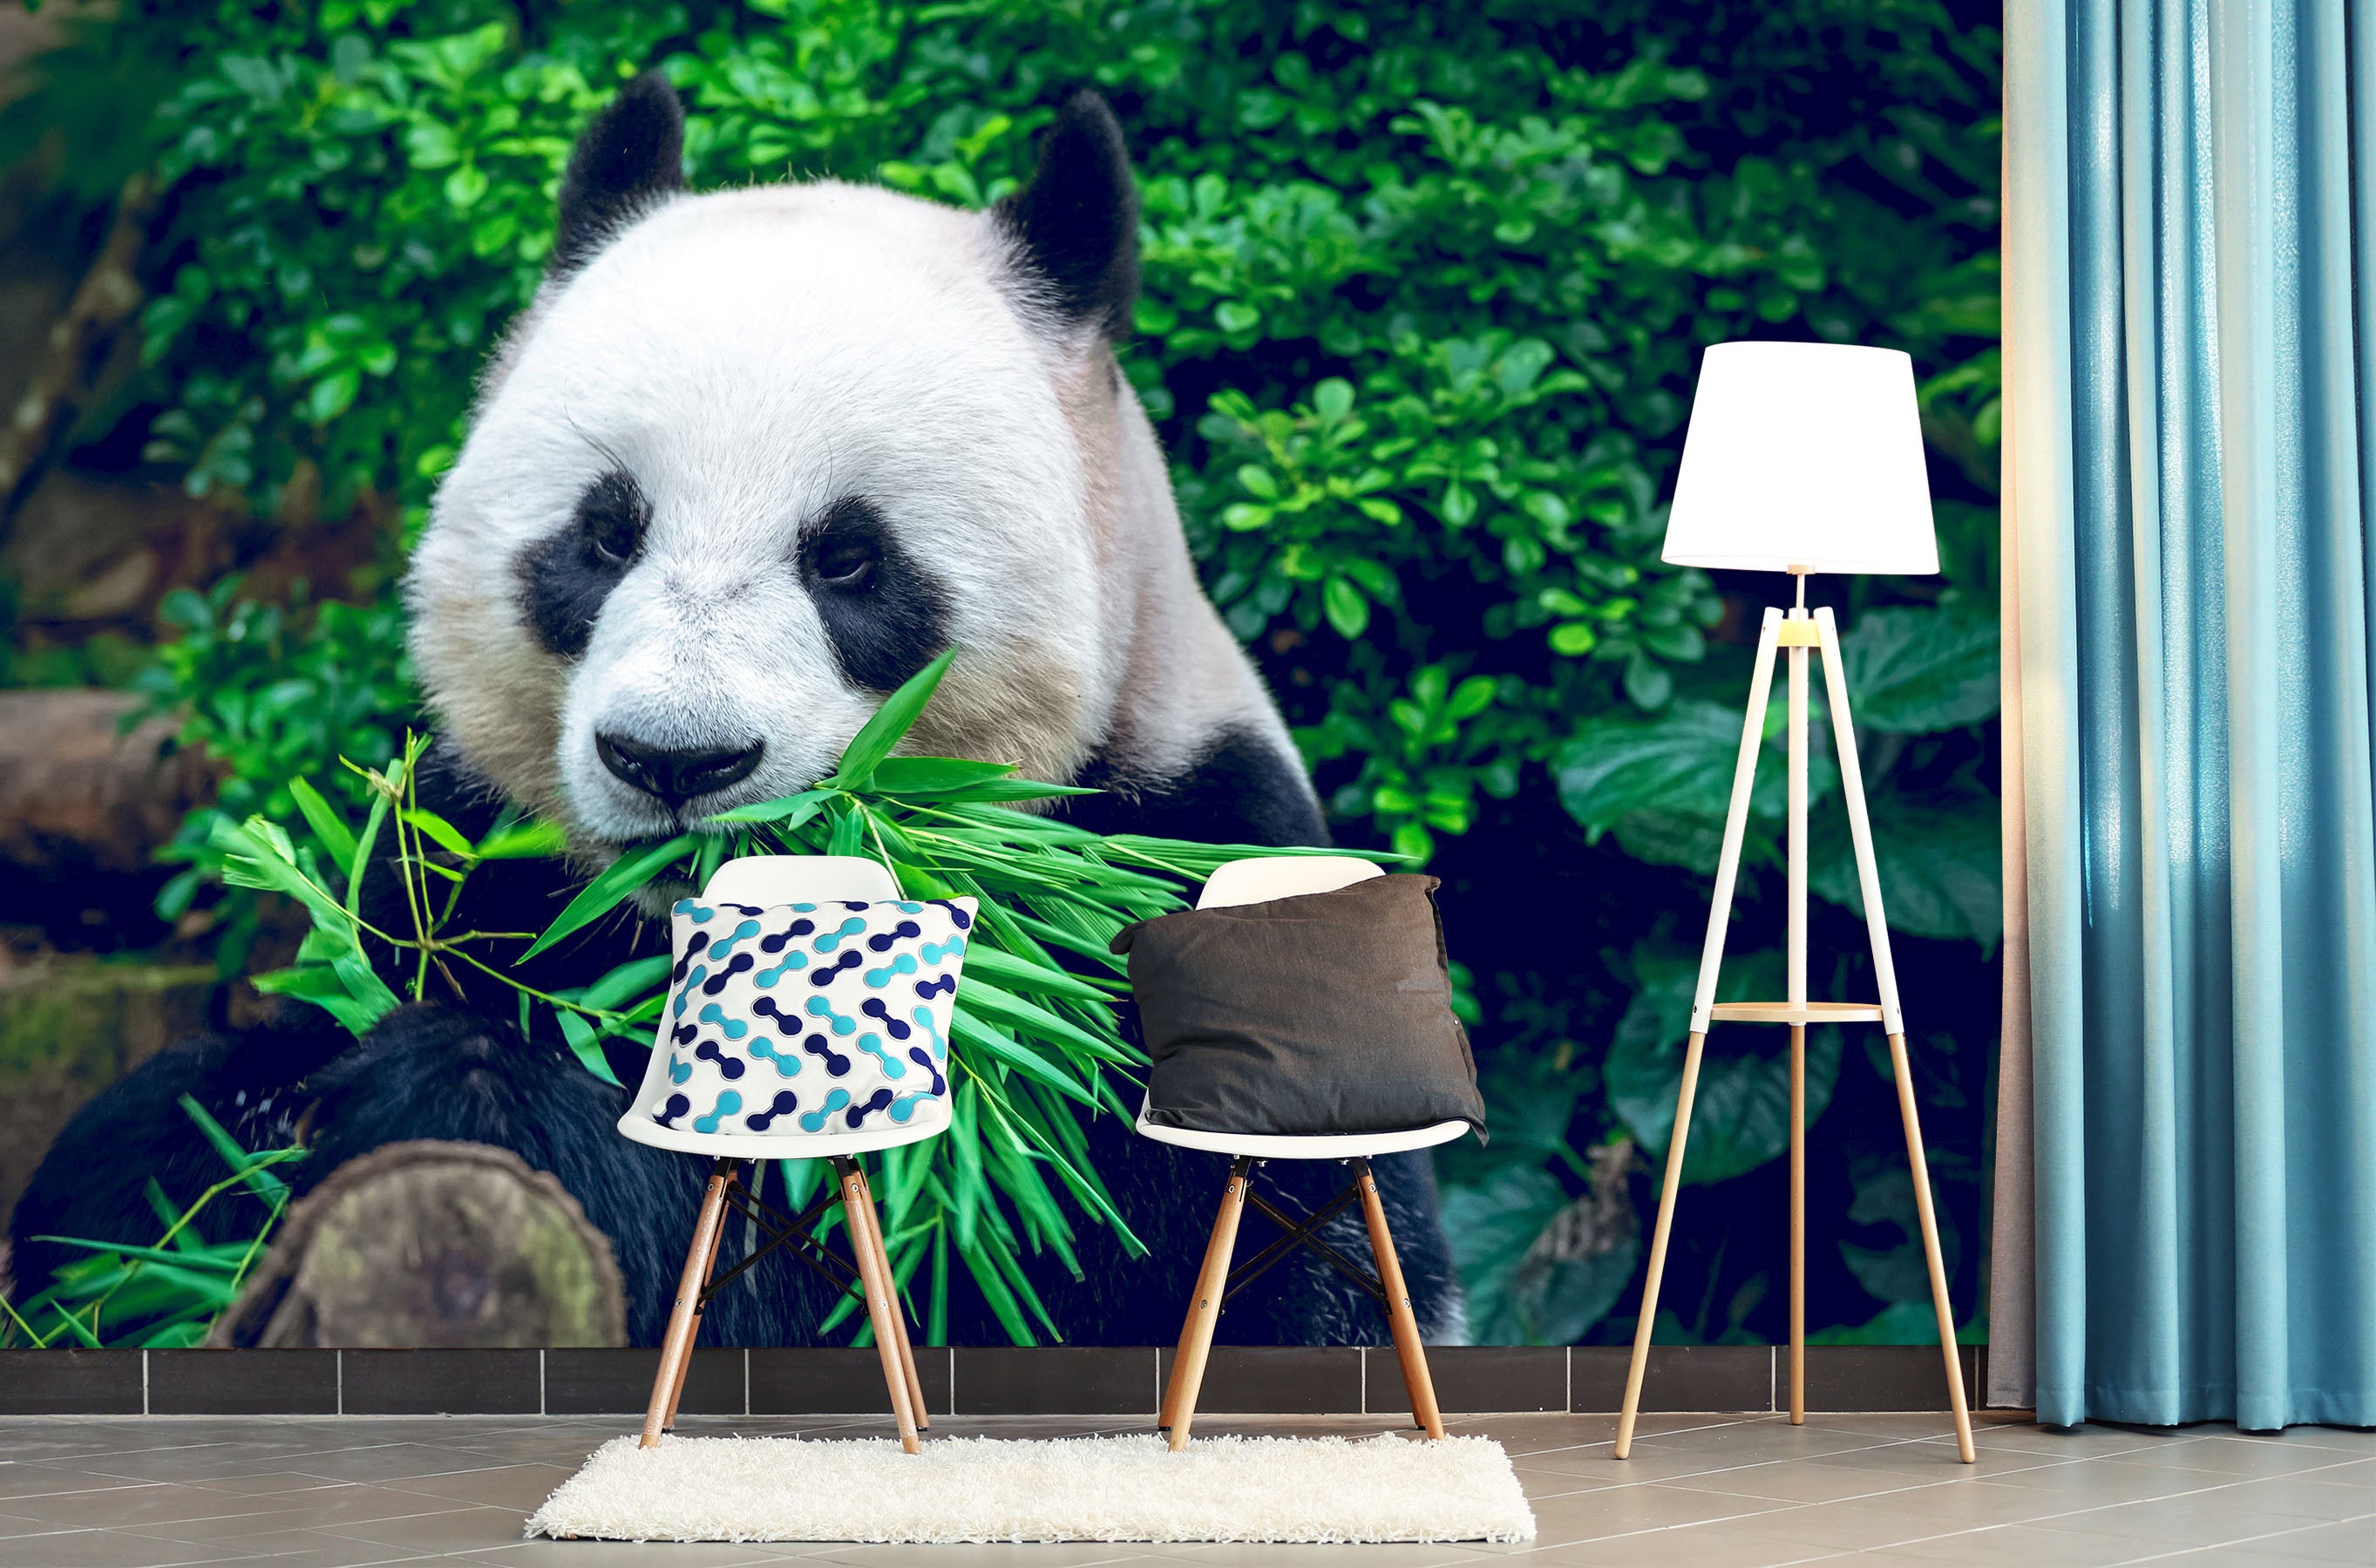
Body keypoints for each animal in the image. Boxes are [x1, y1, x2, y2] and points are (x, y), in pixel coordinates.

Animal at [10, 79, 1463, 1352]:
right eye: (604, 533)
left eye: (850, 558)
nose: (674, 759)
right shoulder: (467, 853)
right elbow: (159, 1142)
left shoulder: (1151, 909)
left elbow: (946, 1265)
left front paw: (472, 1099)